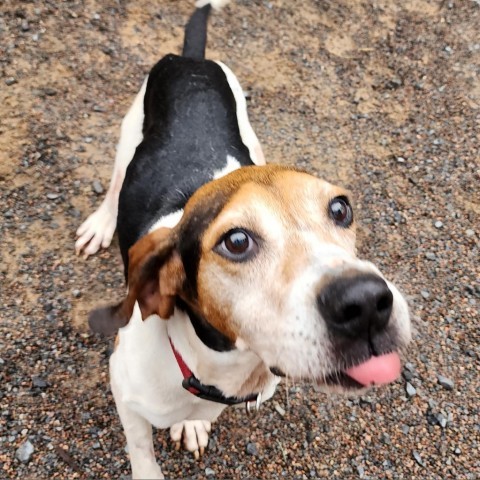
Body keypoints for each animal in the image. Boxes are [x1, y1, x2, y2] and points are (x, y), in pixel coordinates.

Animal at [76, 1, 412, 478]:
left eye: (340, 209)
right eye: (236, 242)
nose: (366, 302)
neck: (219, 367)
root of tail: (192, 60)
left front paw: (192, 425)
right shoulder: (125, 391)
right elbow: (141, 451)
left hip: (250, 135)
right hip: (128, 137)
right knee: (115, 184)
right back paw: (101, 223)